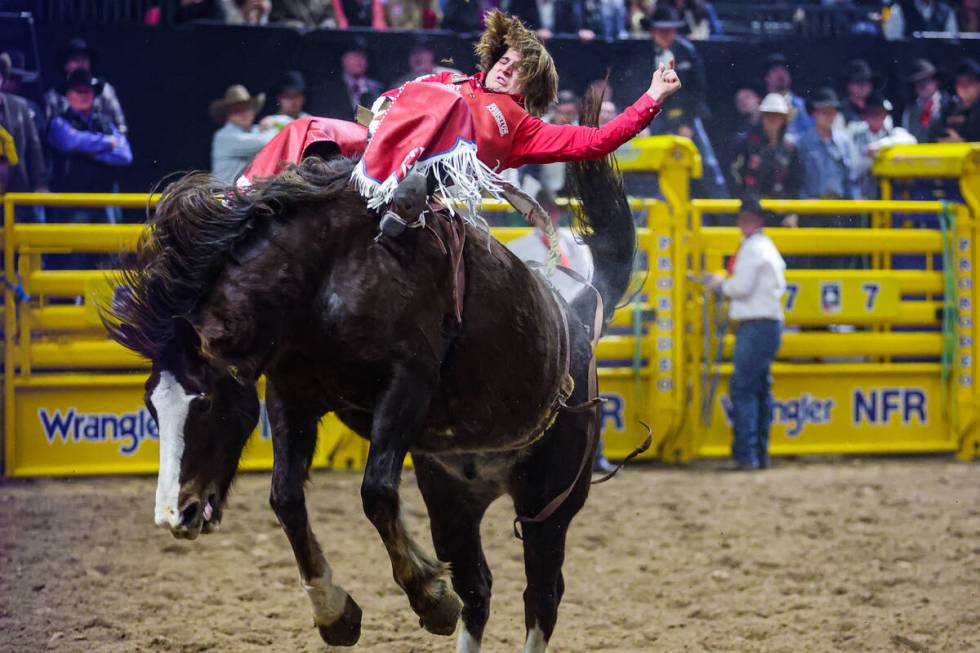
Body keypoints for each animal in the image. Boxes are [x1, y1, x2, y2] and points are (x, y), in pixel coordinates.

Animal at [107, 98, 640, 652]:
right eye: (152, 407)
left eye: (206, 400)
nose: (177, 514)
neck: (327, 272)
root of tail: (578, 318)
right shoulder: (290, 395)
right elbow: (286, 498)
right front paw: (334, 613)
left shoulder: (407, 383)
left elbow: (376, 491)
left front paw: (429, 598)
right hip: (453, 498)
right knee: (478, 587)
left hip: (549, 501)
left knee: (542, 595)